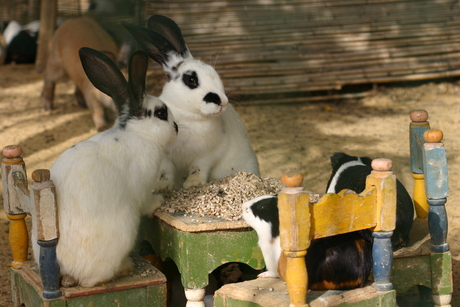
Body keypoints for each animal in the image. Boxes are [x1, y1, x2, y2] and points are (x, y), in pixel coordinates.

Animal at [31, 48, 178, 288]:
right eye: (161, 113)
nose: (176, 128)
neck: (137, 134)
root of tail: (67, 271)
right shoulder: (142, 188)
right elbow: (146, 202)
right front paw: (158, 201)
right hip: (124, 231)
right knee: (92, 281)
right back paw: (124, 268)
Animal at [121, 16, 258, 191]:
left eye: (214, 73)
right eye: (191, 80)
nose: (222, 102)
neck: (189, 116)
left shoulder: (207, 154)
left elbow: (198, 168)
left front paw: (193, 183)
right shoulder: (165, 158)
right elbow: (166, 172)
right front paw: (162, 187)